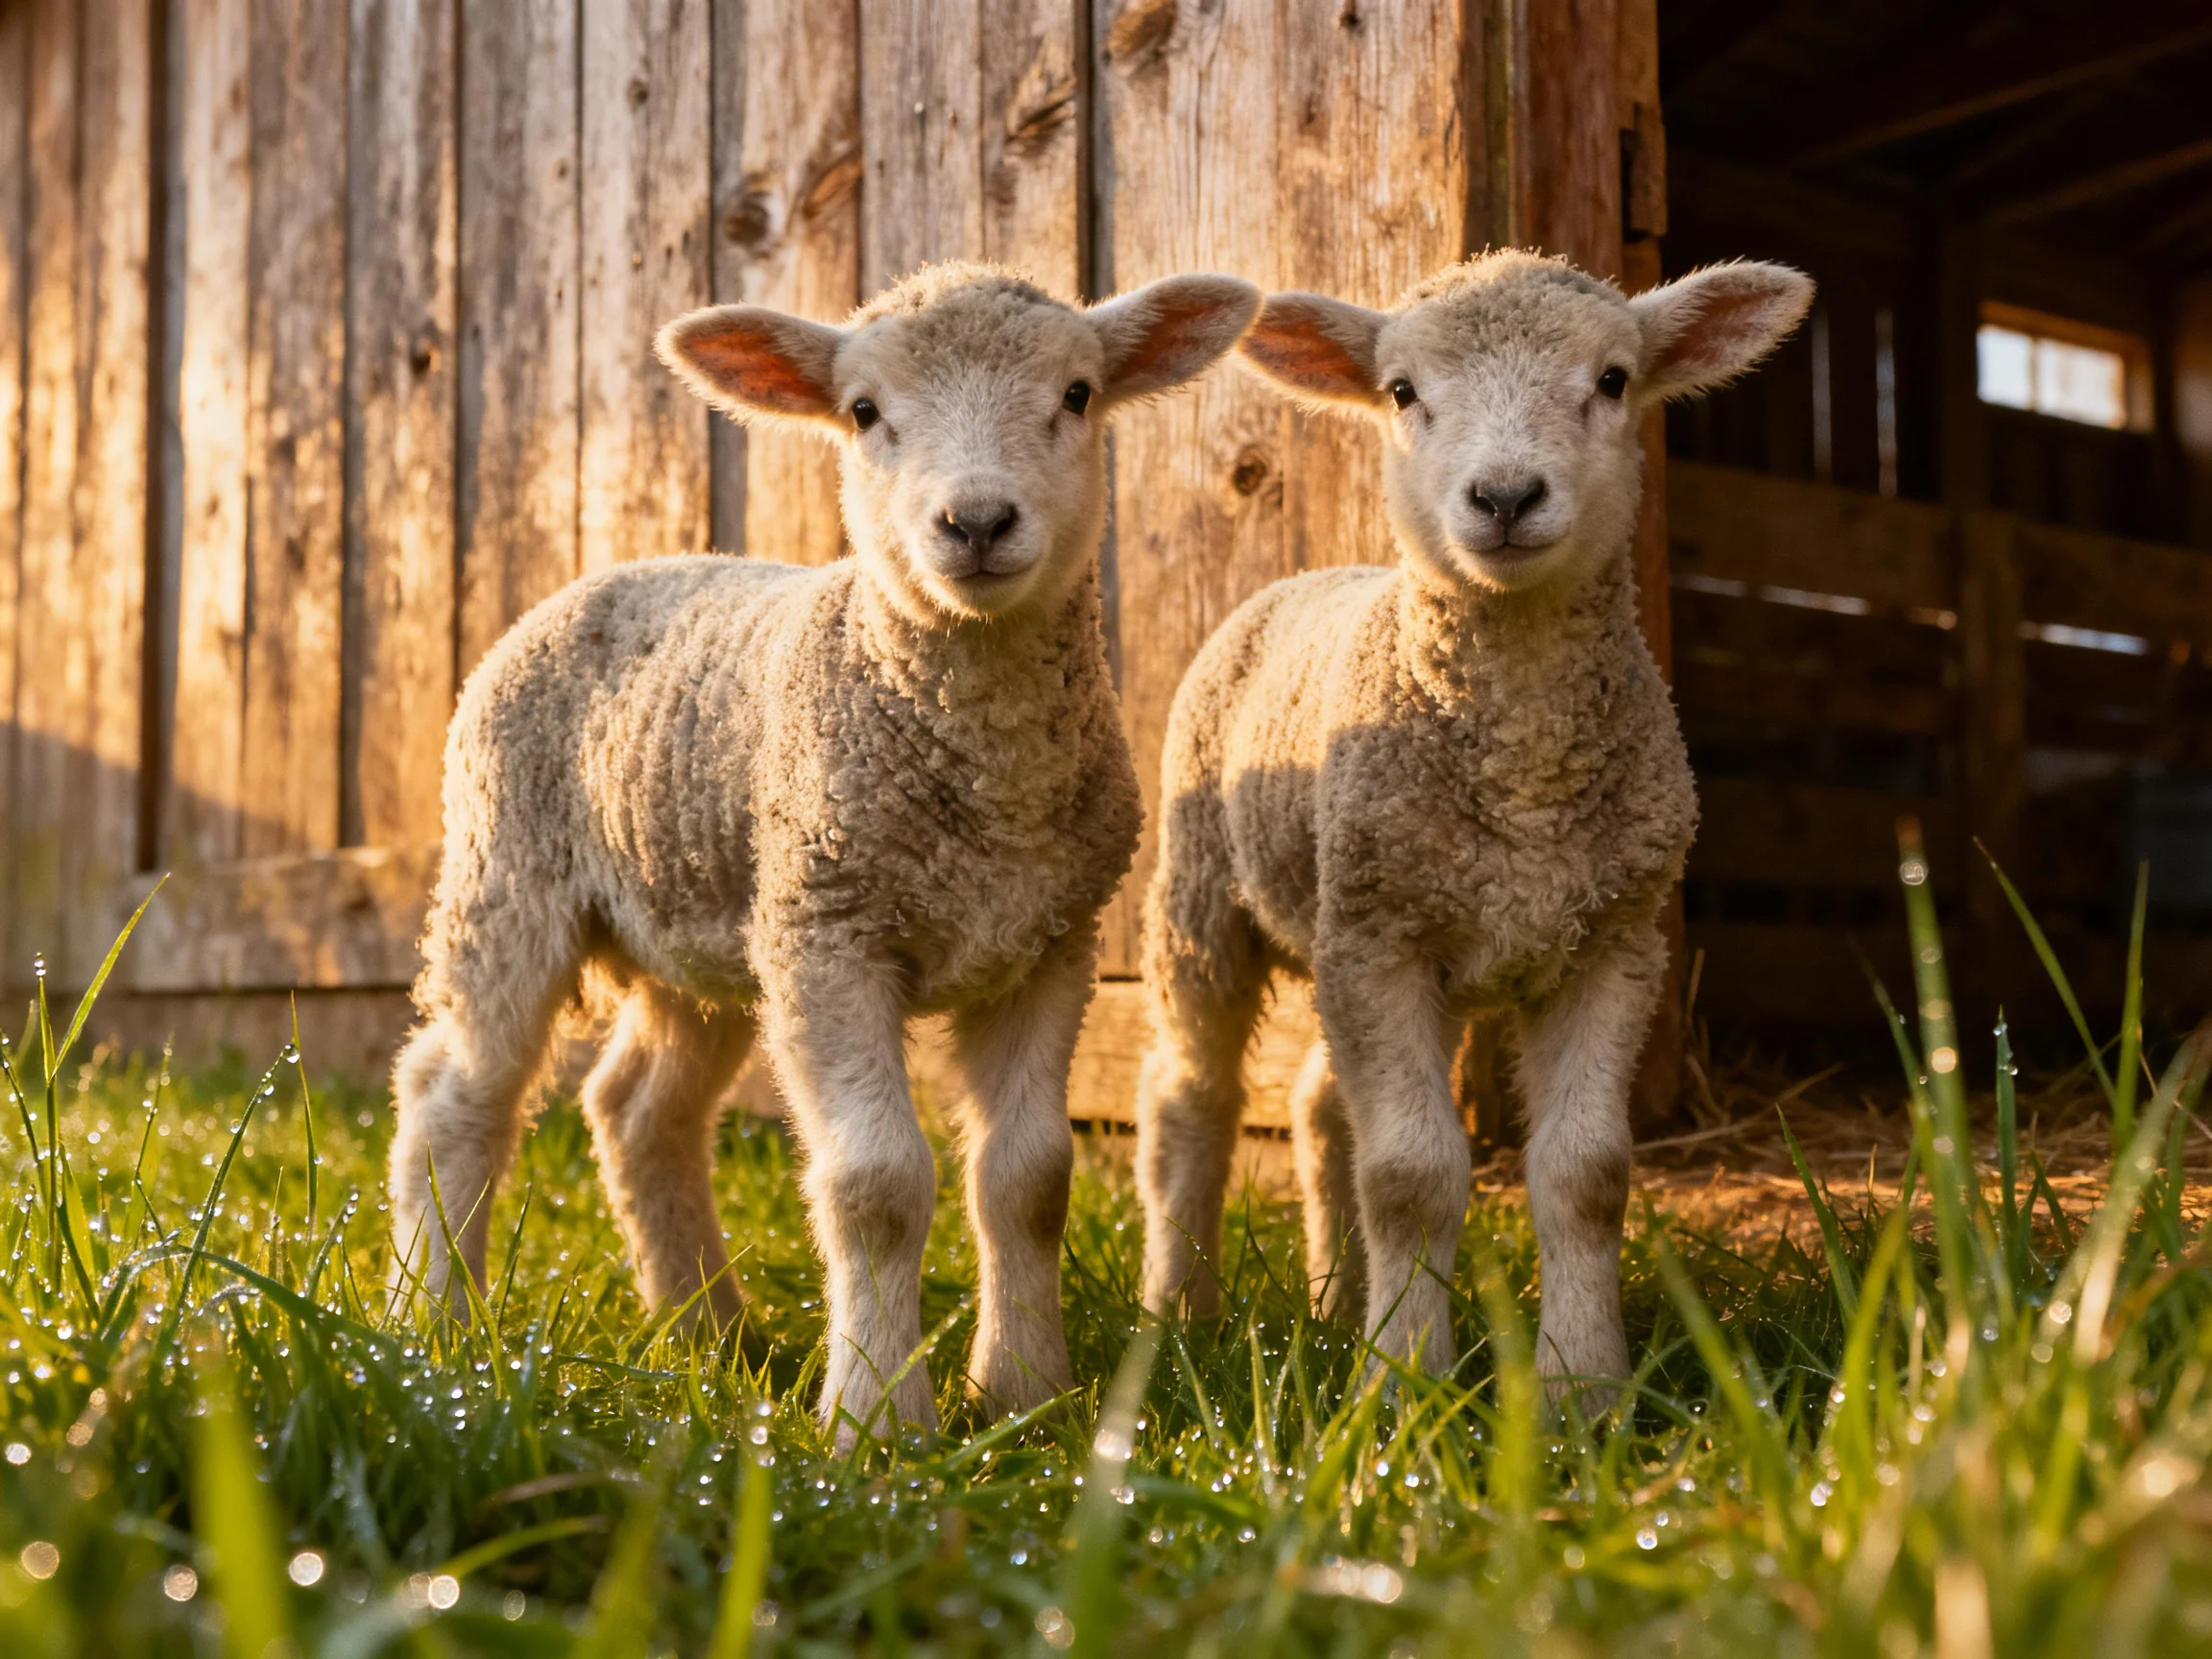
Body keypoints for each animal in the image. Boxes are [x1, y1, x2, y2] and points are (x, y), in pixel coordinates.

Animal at [387, 261, 1261, 1439]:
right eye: (862, 411)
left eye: (1078, 394)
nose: (976, 521)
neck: (979, 788)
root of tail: (610, 572)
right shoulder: (829, 936)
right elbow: (874, 1184)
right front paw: (880, 1419)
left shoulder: (1047, 944)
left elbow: (1030, 1177)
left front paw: (1026, 1394)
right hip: (507, 869)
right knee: (454, 1093)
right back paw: (434, 1322)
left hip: (710, 921)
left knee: (639, 1110)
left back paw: (708, 1331)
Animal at [1133, 250, 1811, 1394]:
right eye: (1403, 391)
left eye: (1615, 379)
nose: (1503, 496)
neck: (1524, 771)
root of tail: (1311, 574)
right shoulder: (1383, 940)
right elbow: (1411, 1174)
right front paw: (1404, 1382)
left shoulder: (1612, 941)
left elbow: (1587, 1173)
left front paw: (1584, 1386)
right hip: (1207, 899)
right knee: (1195, 1101)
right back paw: (1181, 1313)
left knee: (1319, 1110)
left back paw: (1334, 1305)